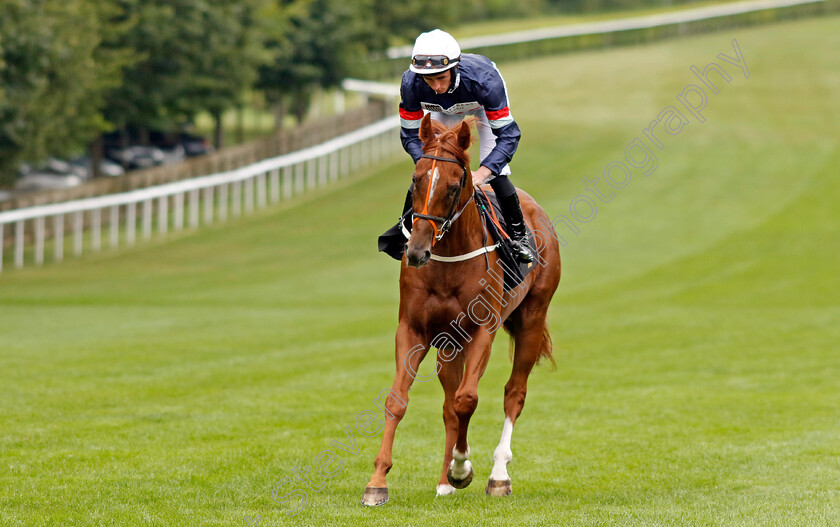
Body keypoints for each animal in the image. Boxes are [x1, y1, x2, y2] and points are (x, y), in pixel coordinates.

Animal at [360, 115, 556, 508]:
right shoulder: (413, 330)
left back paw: (497, 474)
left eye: (454, 186)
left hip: (531, 319)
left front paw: (462, 467)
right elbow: (398, 400)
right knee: (449, 406)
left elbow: (468, 399)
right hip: (450, 345)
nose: (417, 251)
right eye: (416, 179)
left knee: (514, 393)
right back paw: (444, 481)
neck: (449, 260)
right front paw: (377, 481)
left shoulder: (483, 330)